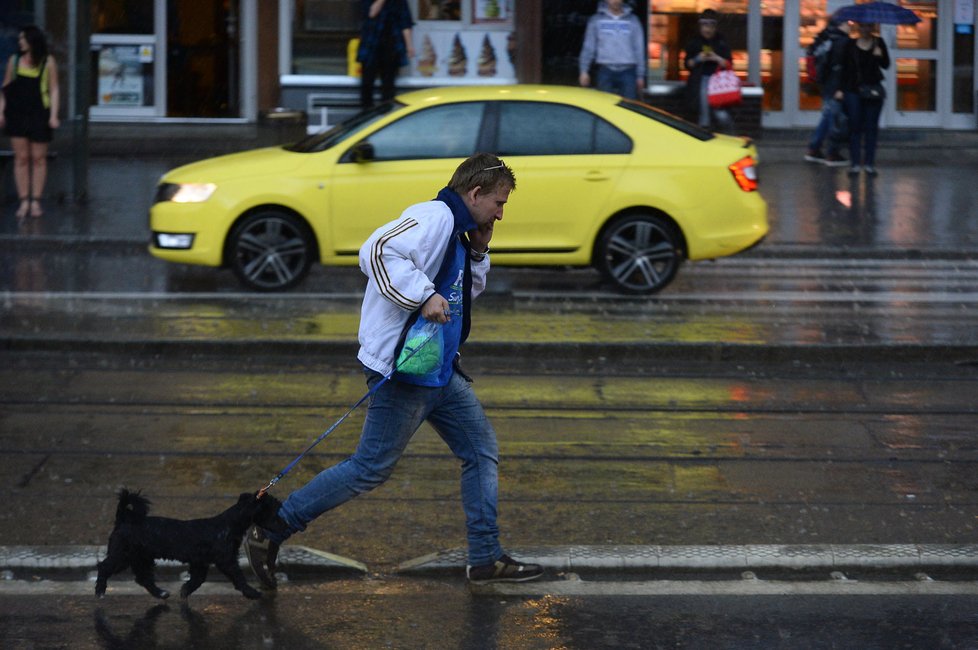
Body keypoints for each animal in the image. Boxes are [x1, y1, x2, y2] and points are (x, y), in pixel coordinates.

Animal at [96, 486, 282, 596]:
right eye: (274, 508)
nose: (284, 523)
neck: (230, 524)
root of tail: (123, 519)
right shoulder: (226, 560)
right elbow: (238, 577)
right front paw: (251, 593)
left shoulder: (200, 562)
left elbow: (196, 580)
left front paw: (184, 592)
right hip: (122, 555)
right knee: (104, 567)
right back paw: (100, 590)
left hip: (141, 558)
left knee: (144, 578)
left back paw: (160, 593)